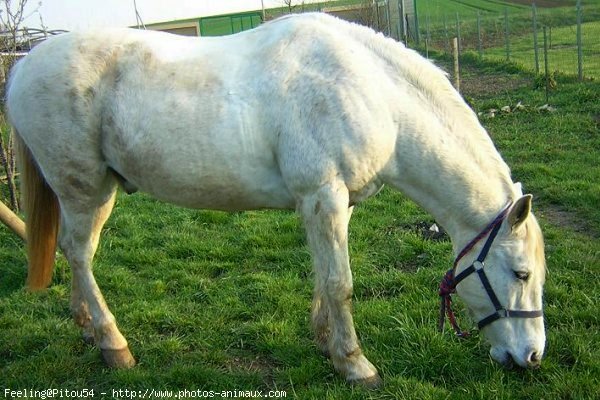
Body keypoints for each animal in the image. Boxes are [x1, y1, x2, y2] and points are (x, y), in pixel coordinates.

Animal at [5, 14, 548, 386]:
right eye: (521, 274)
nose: (532, 356)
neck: (372, 91)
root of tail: (24, 67)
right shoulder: (324, 196)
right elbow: (341, 284)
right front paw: (356, 364)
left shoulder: (330, 204)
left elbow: (324, 279)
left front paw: (327, 344)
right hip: (85, 189)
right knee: (79, 253)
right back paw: (113, 344)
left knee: (72, 253)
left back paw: (85, 328)